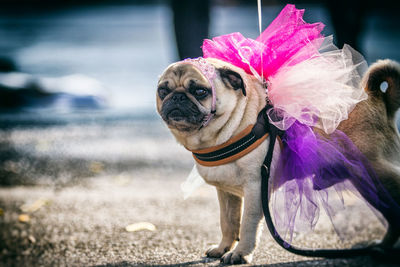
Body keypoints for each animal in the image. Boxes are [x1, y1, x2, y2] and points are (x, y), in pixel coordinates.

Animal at [156, 57, 400, 264]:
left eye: (200, 91)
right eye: (162, 90)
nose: (177, 97)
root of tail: (375, 97)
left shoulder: (255, 187)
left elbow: (247, 225)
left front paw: (240, 254)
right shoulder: (226, 193)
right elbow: (228, 222)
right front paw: (223, 247)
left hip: (376, 175)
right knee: (392, 216)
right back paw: (381, 247)